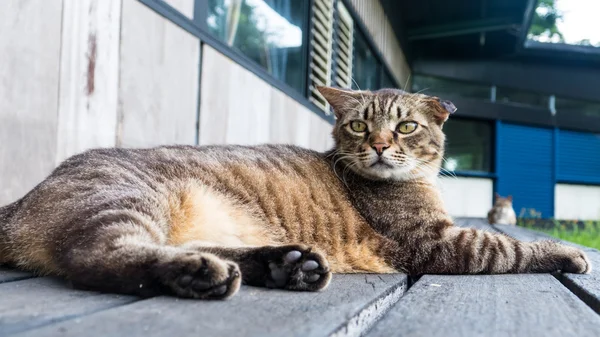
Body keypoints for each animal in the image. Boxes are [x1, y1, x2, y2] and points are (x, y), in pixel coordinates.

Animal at [0, 85, 592, 298]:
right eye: (359, 125)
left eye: (405, 127)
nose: (380, 145)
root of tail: (19, 202)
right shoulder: (438, 242)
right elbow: (510, 246)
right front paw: (567, 251)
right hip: (125, 201)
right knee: (98, 255)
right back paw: (200, 274)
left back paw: (286, 266)